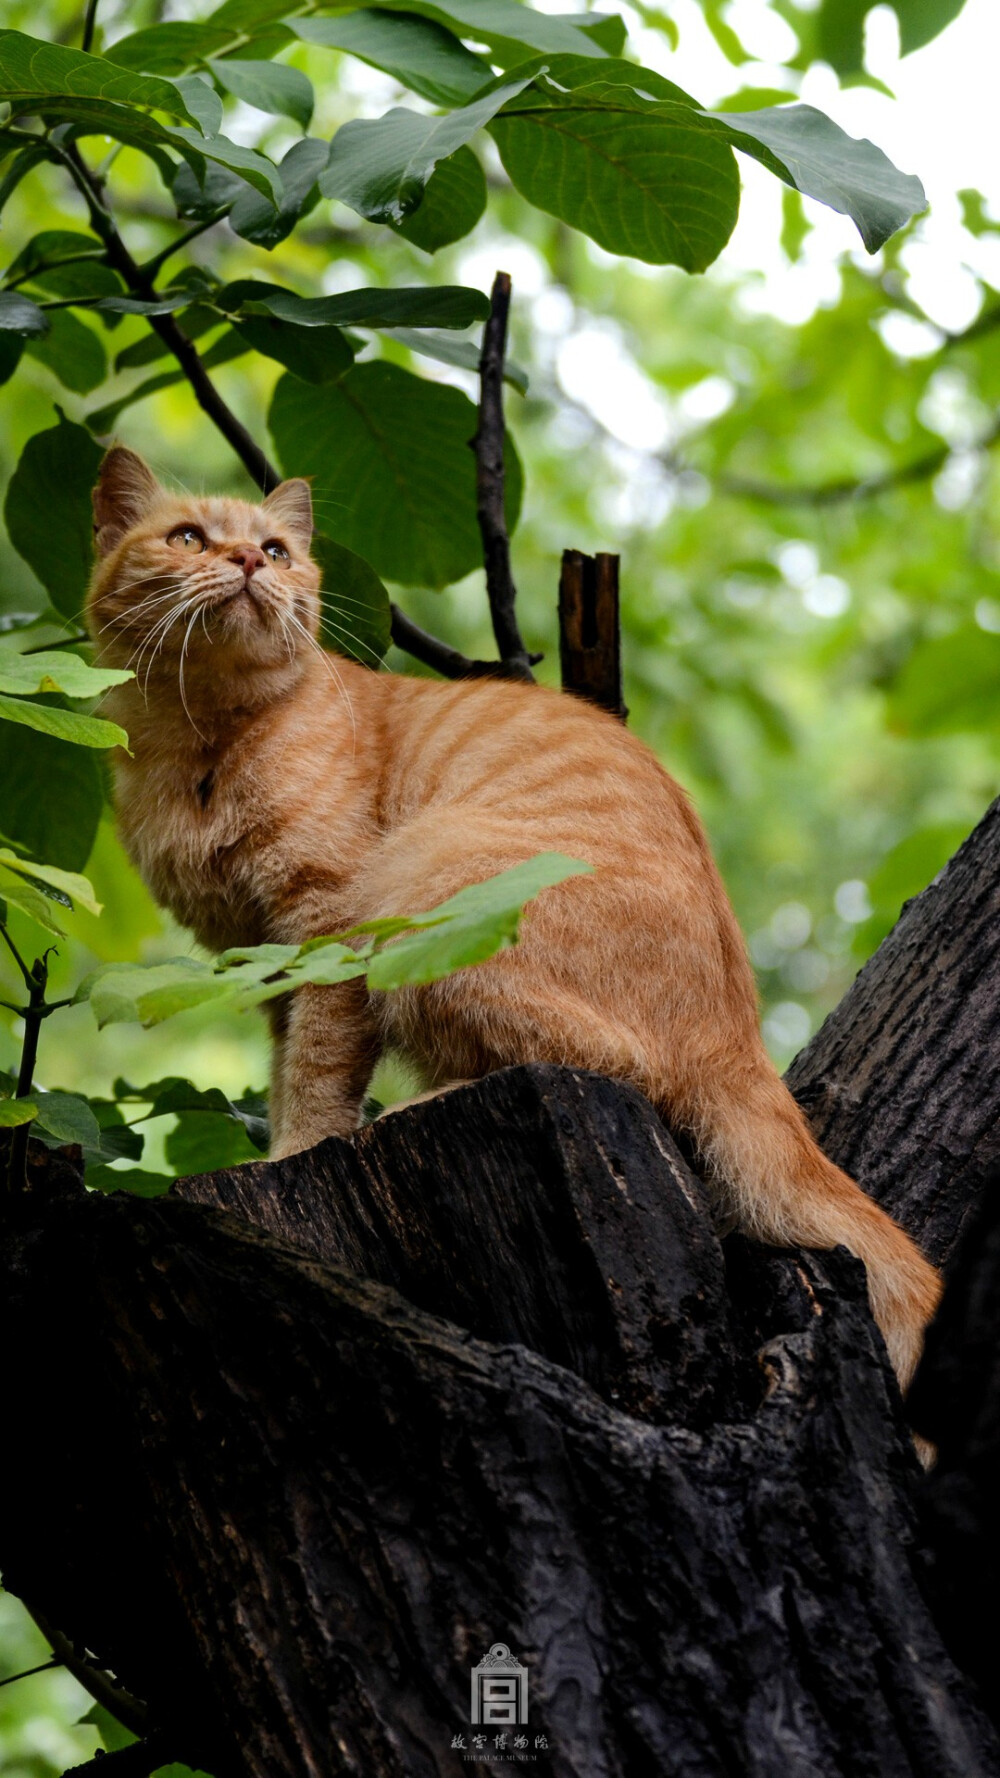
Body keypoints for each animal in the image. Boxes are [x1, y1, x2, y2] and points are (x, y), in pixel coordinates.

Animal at [89, 444, 939, 1386]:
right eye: (189, 537)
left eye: (275, 550)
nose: (244, 561)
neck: (199, 741)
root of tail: (740, 1032)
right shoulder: (270, 961)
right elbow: (285, 1068)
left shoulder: (330, 926)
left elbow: (316, 1074)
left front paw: (298, 1153)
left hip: (422, 882)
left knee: (616, 1063)